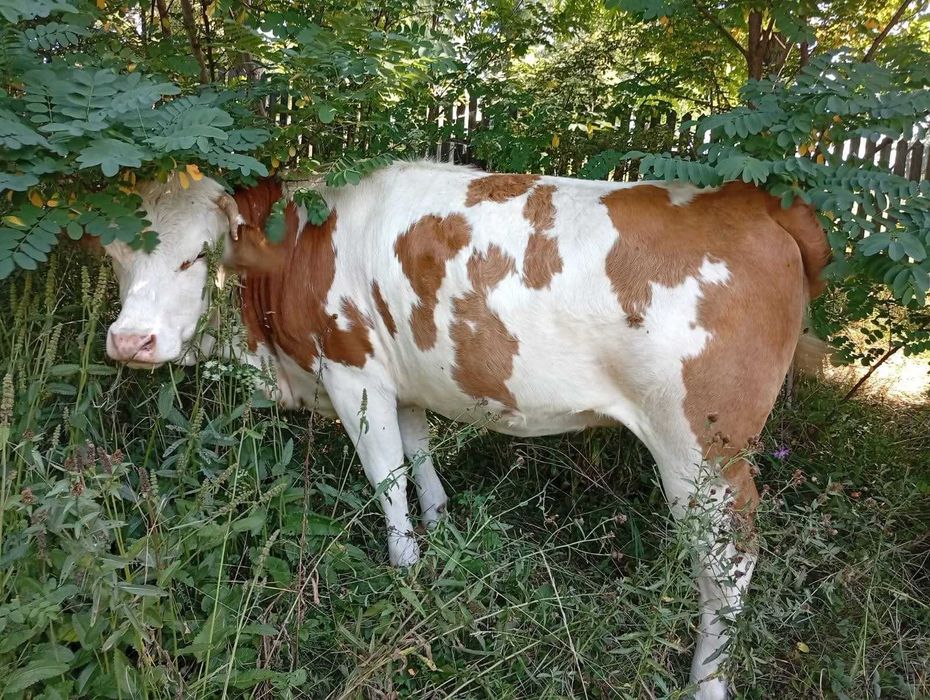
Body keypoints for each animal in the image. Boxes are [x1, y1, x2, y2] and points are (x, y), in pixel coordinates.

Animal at [102, 160, 830, 699]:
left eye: (198, 256)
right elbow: (418, 457)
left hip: (703, 450)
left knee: (729, 563)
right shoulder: (402, 380)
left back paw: (708, 682)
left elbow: (386, 480)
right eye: (116, 254)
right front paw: (442, 529)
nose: (130, 340)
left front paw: (404, 573)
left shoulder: (353, 372)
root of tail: (755, 202)